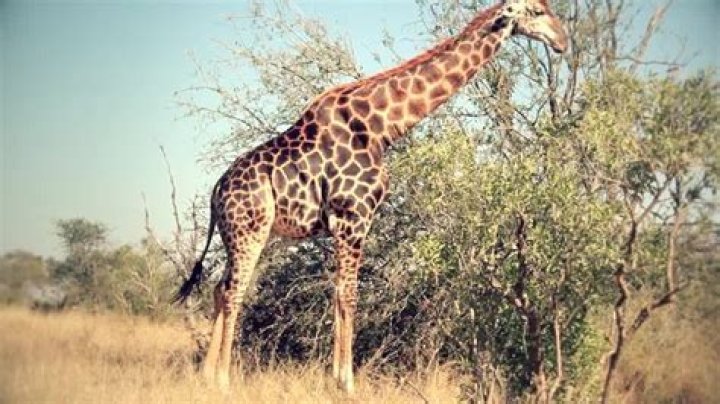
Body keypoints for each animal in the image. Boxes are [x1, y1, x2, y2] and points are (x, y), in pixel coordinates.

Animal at [175, 0, 568, 393]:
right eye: (535, 11)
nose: (562, 41)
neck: (381, 128)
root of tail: (216, 191)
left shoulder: (350, 222)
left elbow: (339, 293)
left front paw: (338, 377)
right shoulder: (353, 217)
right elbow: (349, 294)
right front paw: (346, 382)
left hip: (248, 236)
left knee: (218, 289)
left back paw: (205, 375)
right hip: (249, 231)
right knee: (234, 291)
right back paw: (223, 379)